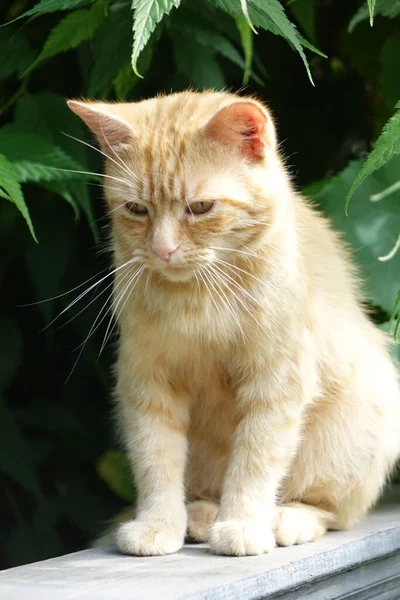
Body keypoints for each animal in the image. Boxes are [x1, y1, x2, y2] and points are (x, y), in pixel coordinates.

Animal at [68, 91, 400, 556]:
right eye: (136, 209)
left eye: (200, 207)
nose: (163, 250)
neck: (198, 296)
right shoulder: (147, 383)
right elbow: (155, 459)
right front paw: (158, 524)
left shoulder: (276, 384)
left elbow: (255, 460)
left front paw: (242, 523)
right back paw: (201, 516)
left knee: (331, 511)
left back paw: (285, 519)